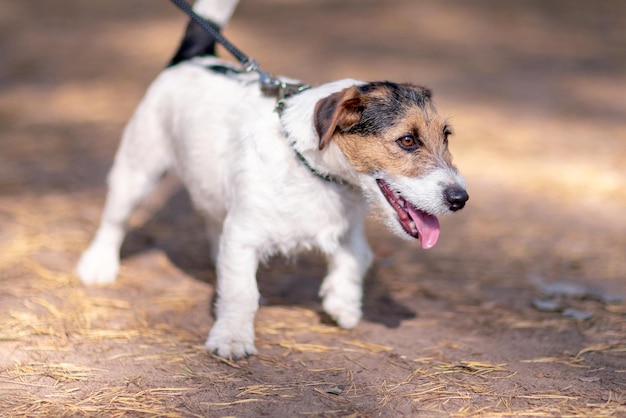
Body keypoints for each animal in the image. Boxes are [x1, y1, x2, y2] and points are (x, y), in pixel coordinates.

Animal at [75, 0, 468, 360]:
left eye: (446, 136)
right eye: (407, 140)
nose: (460, 199)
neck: (316, 171)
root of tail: (195, 59)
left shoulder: (347, 229)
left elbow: (355, 258)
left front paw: (342, 303)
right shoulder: (244, 234)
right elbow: (242, 292)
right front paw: (232, 337)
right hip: (137, 169)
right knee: (115, 220)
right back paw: (99, 264)